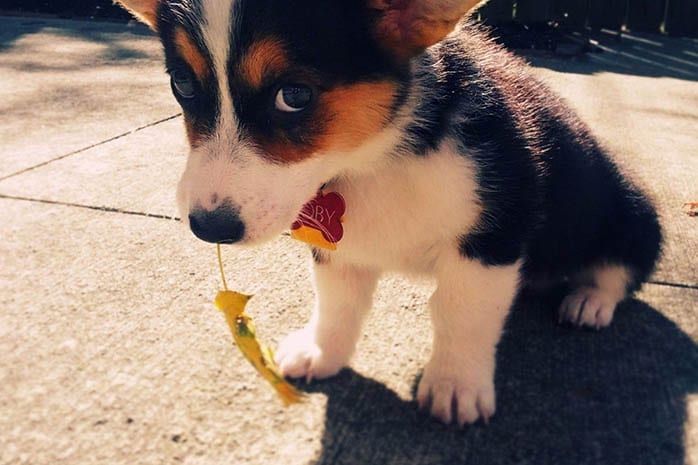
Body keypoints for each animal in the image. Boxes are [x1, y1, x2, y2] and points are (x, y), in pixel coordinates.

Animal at [117, 0, 660, 424]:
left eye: (294, 96)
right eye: (182, 84)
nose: (210, 228)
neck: (374, 156)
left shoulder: (492, 236)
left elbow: (462, 314)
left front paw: (455, 387)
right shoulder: (336, 246)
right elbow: (337, 305)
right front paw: (321, 354)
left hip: (631, 214)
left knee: (621, 269)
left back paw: (589, 301)